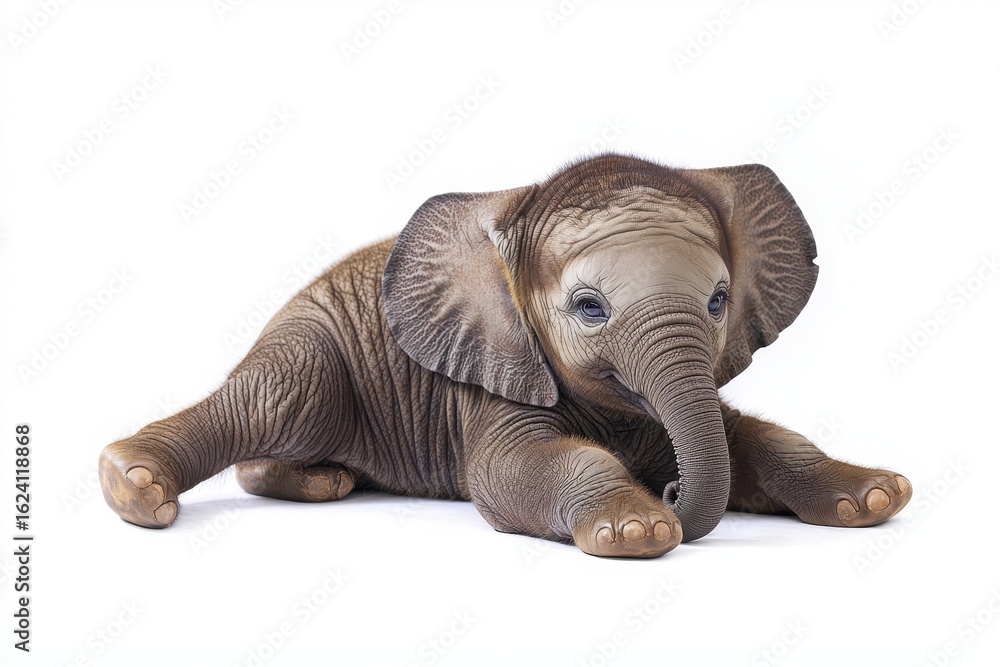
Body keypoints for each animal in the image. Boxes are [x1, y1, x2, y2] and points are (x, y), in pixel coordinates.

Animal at [99, 153, 911, 558]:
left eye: (718, 301)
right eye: (589, 307)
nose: (673, 488)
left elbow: (757, 437)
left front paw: (876, 498)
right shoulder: (489, 375)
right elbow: (511, 468)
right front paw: (638, 530)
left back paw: (325, 483)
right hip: (315, 348)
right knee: (269, 401)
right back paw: (134, 482)